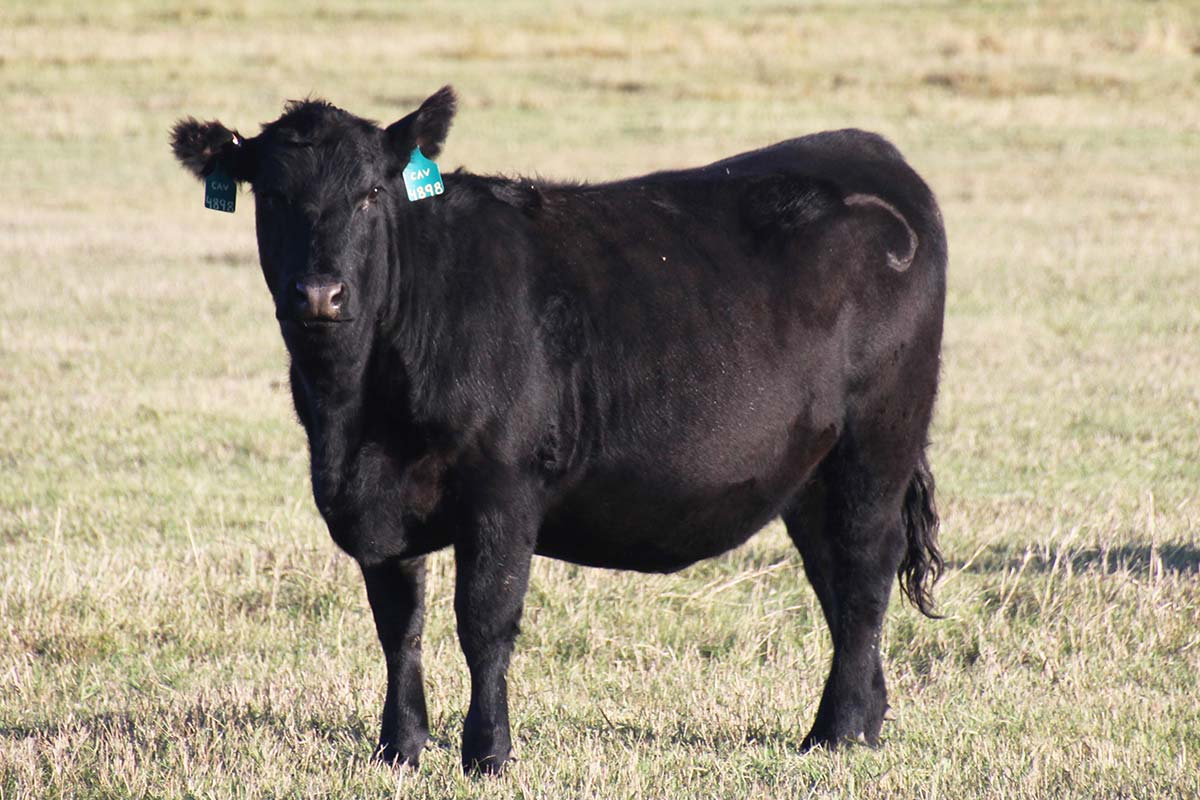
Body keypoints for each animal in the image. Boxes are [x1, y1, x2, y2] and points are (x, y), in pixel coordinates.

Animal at [170, 86, 946, 774]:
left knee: (865, 570)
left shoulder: (503, 489)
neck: (352, 416)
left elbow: (484, 620)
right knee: (835, 579)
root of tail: (868, 151)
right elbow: (399, 624)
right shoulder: (378, 506)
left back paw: (835, 734)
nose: (320, 294)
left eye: (370, 194)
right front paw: (399, 748)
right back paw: (864, 721)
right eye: (271, 195)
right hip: (811, 472)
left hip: (876, 445)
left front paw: (487, 753)